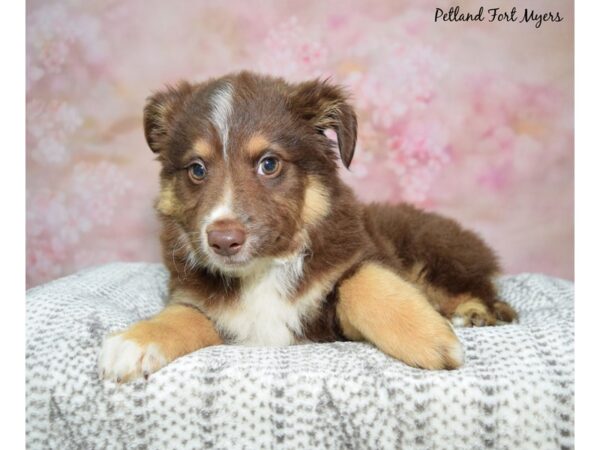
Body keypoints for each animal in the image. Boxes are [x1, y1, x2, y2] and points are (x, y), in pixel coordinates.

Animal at [97, 71, 516, 384]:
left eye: (269, 164)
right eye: (197, 169)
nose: (223, 241)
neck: (264, 270)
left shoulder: (357, 269)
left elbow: (359, 283)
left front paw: (431, 339)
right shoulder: (216, 311)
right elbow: (184, 314)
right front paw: (135, 341)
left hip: (433, 252)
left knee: (485, 292)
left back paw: (473, 314)